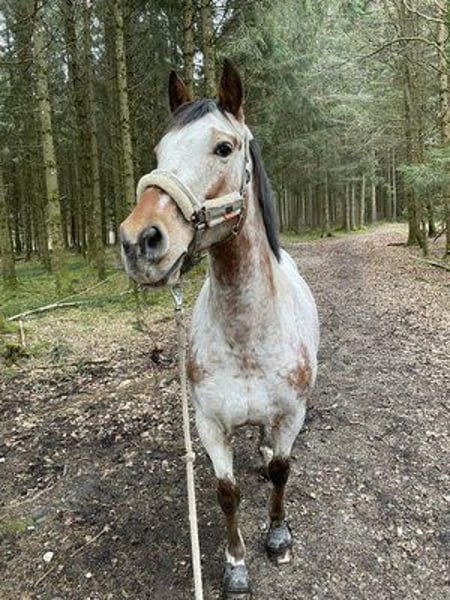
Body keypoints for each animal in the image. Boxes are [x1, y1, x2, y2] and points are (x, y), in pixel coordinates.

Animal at [120, 60, 319, 598]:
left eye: (224, 148)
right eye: (158, 150)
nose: (138, 242)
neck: (247, 335)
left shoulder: (291, 415)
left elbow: (281, 472)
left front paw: (278, 538)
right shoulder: (209, 425)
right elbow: (227, 492)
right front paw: (235, 565)